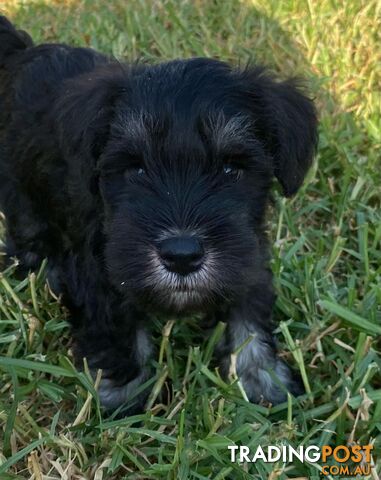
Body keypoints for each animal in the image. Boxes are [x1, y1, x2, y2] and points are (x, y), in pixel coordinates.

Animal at [0, 16, 316, 410]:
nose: (181, 255)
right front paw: (124, 399)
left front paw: (262, 381)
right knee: (27, 237)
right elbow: (117, 330)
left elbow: (249, 318)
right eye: (136, 168)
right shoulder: (100, 271)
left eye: (232, 167)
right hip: (20, 189)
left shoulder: (247, 258)